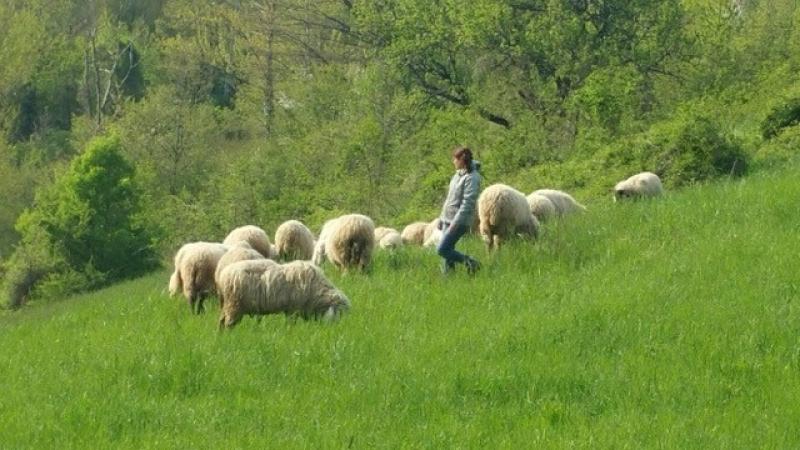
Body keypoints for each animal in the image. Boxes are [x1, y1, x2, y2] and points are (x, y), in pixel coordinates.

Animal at [218, 260, 350, 329]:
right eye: (338, 314)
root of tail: (222, 275)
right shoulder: (293, 309)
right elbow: (291, 324)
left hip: (228, 305)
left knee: (221, 321)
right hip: (234, 305)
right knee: (228, 324)